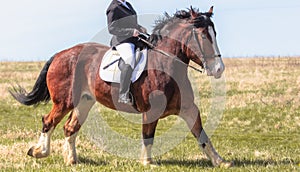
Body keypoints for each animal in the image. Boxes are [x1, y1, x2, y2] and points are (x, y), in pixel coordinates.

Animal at [9, 7, 232, 168]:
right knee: (48, 121)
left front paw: (220, 161)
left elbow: (202, 135)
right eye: (203, 36)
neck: (166, 65)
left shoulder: (188, 108)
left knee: (69, 127)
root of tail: (60, 54)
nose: (218, 69)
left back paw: (72, 160)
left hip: (84, 101)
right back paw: (39, 151)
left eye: (214, 33)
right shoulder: (151, 111)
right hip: (64, 101)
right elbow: (148, 136)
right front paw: (147, 163)